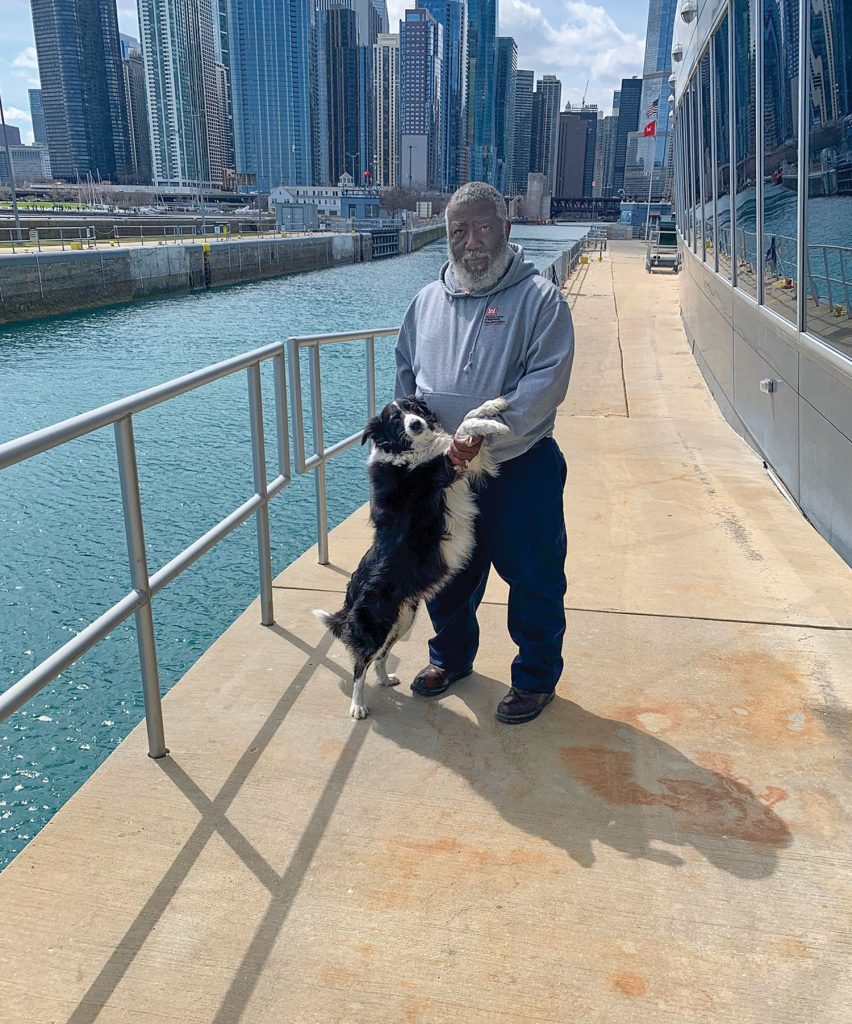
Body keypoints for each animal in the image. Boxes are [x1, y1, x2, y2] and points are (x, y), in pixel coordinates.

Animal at [315, 393, 509, 720]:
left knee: (380, 657)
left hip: (403, 620)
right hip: (378, 623)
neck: (410, 449)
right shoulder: (445, 468)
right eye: (395, 420)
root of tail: (350, 596)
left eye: (414, 408)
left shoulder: (464, 463)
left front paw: (492, 407)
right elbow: (462, 428)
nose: (415, 424)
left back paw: (384, 679)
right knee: (360, 664)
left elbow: (467, 418)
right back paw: (358, 705)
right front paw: (493, 425)